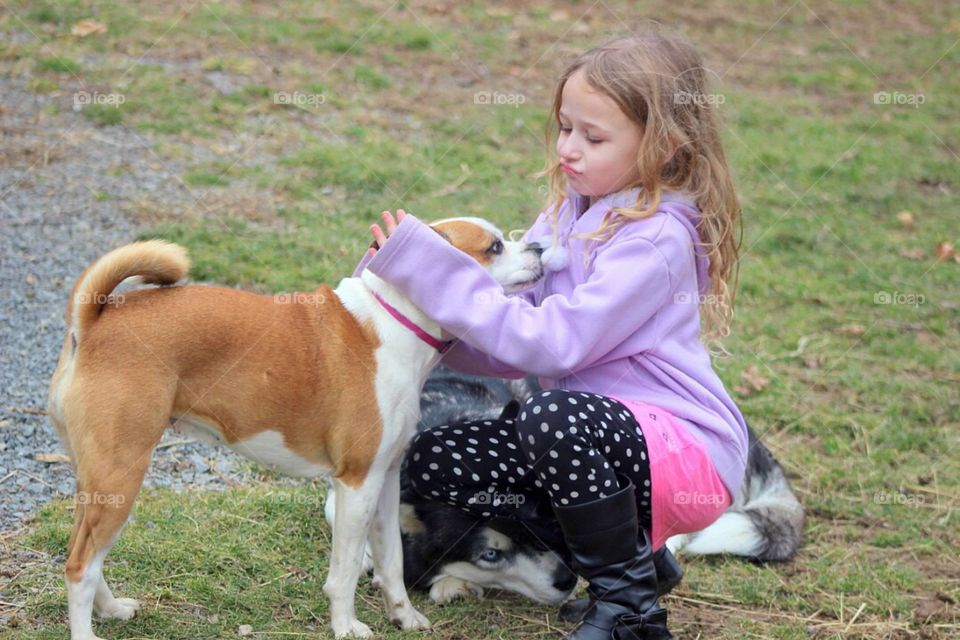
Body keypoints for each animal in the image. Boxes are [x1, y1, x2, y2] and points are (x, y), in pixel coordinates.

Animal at [48, 218, 544, 636]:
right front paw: (346, 626)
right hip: (121, 477)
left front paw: (403, 616)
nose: (540, 247)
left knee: (84, 556)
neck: (391, 324)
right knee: (80, 566)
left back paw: (111, 609)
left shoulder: (385, 483)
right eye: (494, 247)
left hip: (101, 484)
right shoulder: (356, 485)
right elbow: (346, 571)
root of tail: (95, 321)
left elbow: (391, 561)